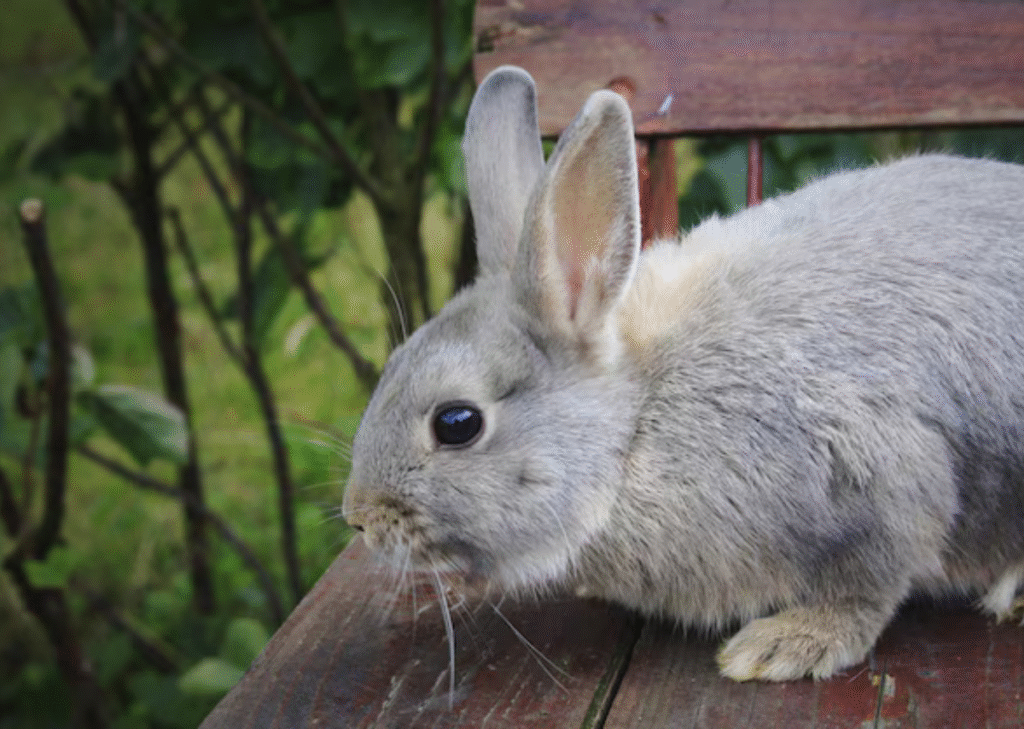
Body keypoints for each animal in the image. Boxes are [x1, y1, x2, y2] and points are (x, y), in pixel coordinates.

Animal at [342, 65, 1024, 682]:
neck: (636, 425)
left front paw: (780, 648)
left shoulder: (885, 479)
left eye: (457, 423)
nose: (359, 517)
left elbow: (865, 590)